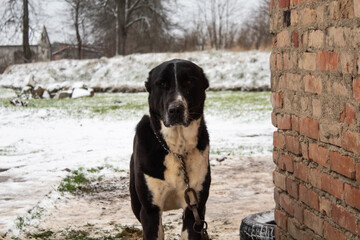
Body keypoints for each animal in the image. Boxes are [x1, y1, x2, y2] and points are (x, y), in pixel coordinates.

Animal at [129, 59, 211, 239]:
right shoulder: (150, 210)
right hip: (136, 203)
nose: (175, 109)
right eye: (162, 84)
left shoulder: (194, 208)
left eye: (189, 82)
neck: (177, 150)